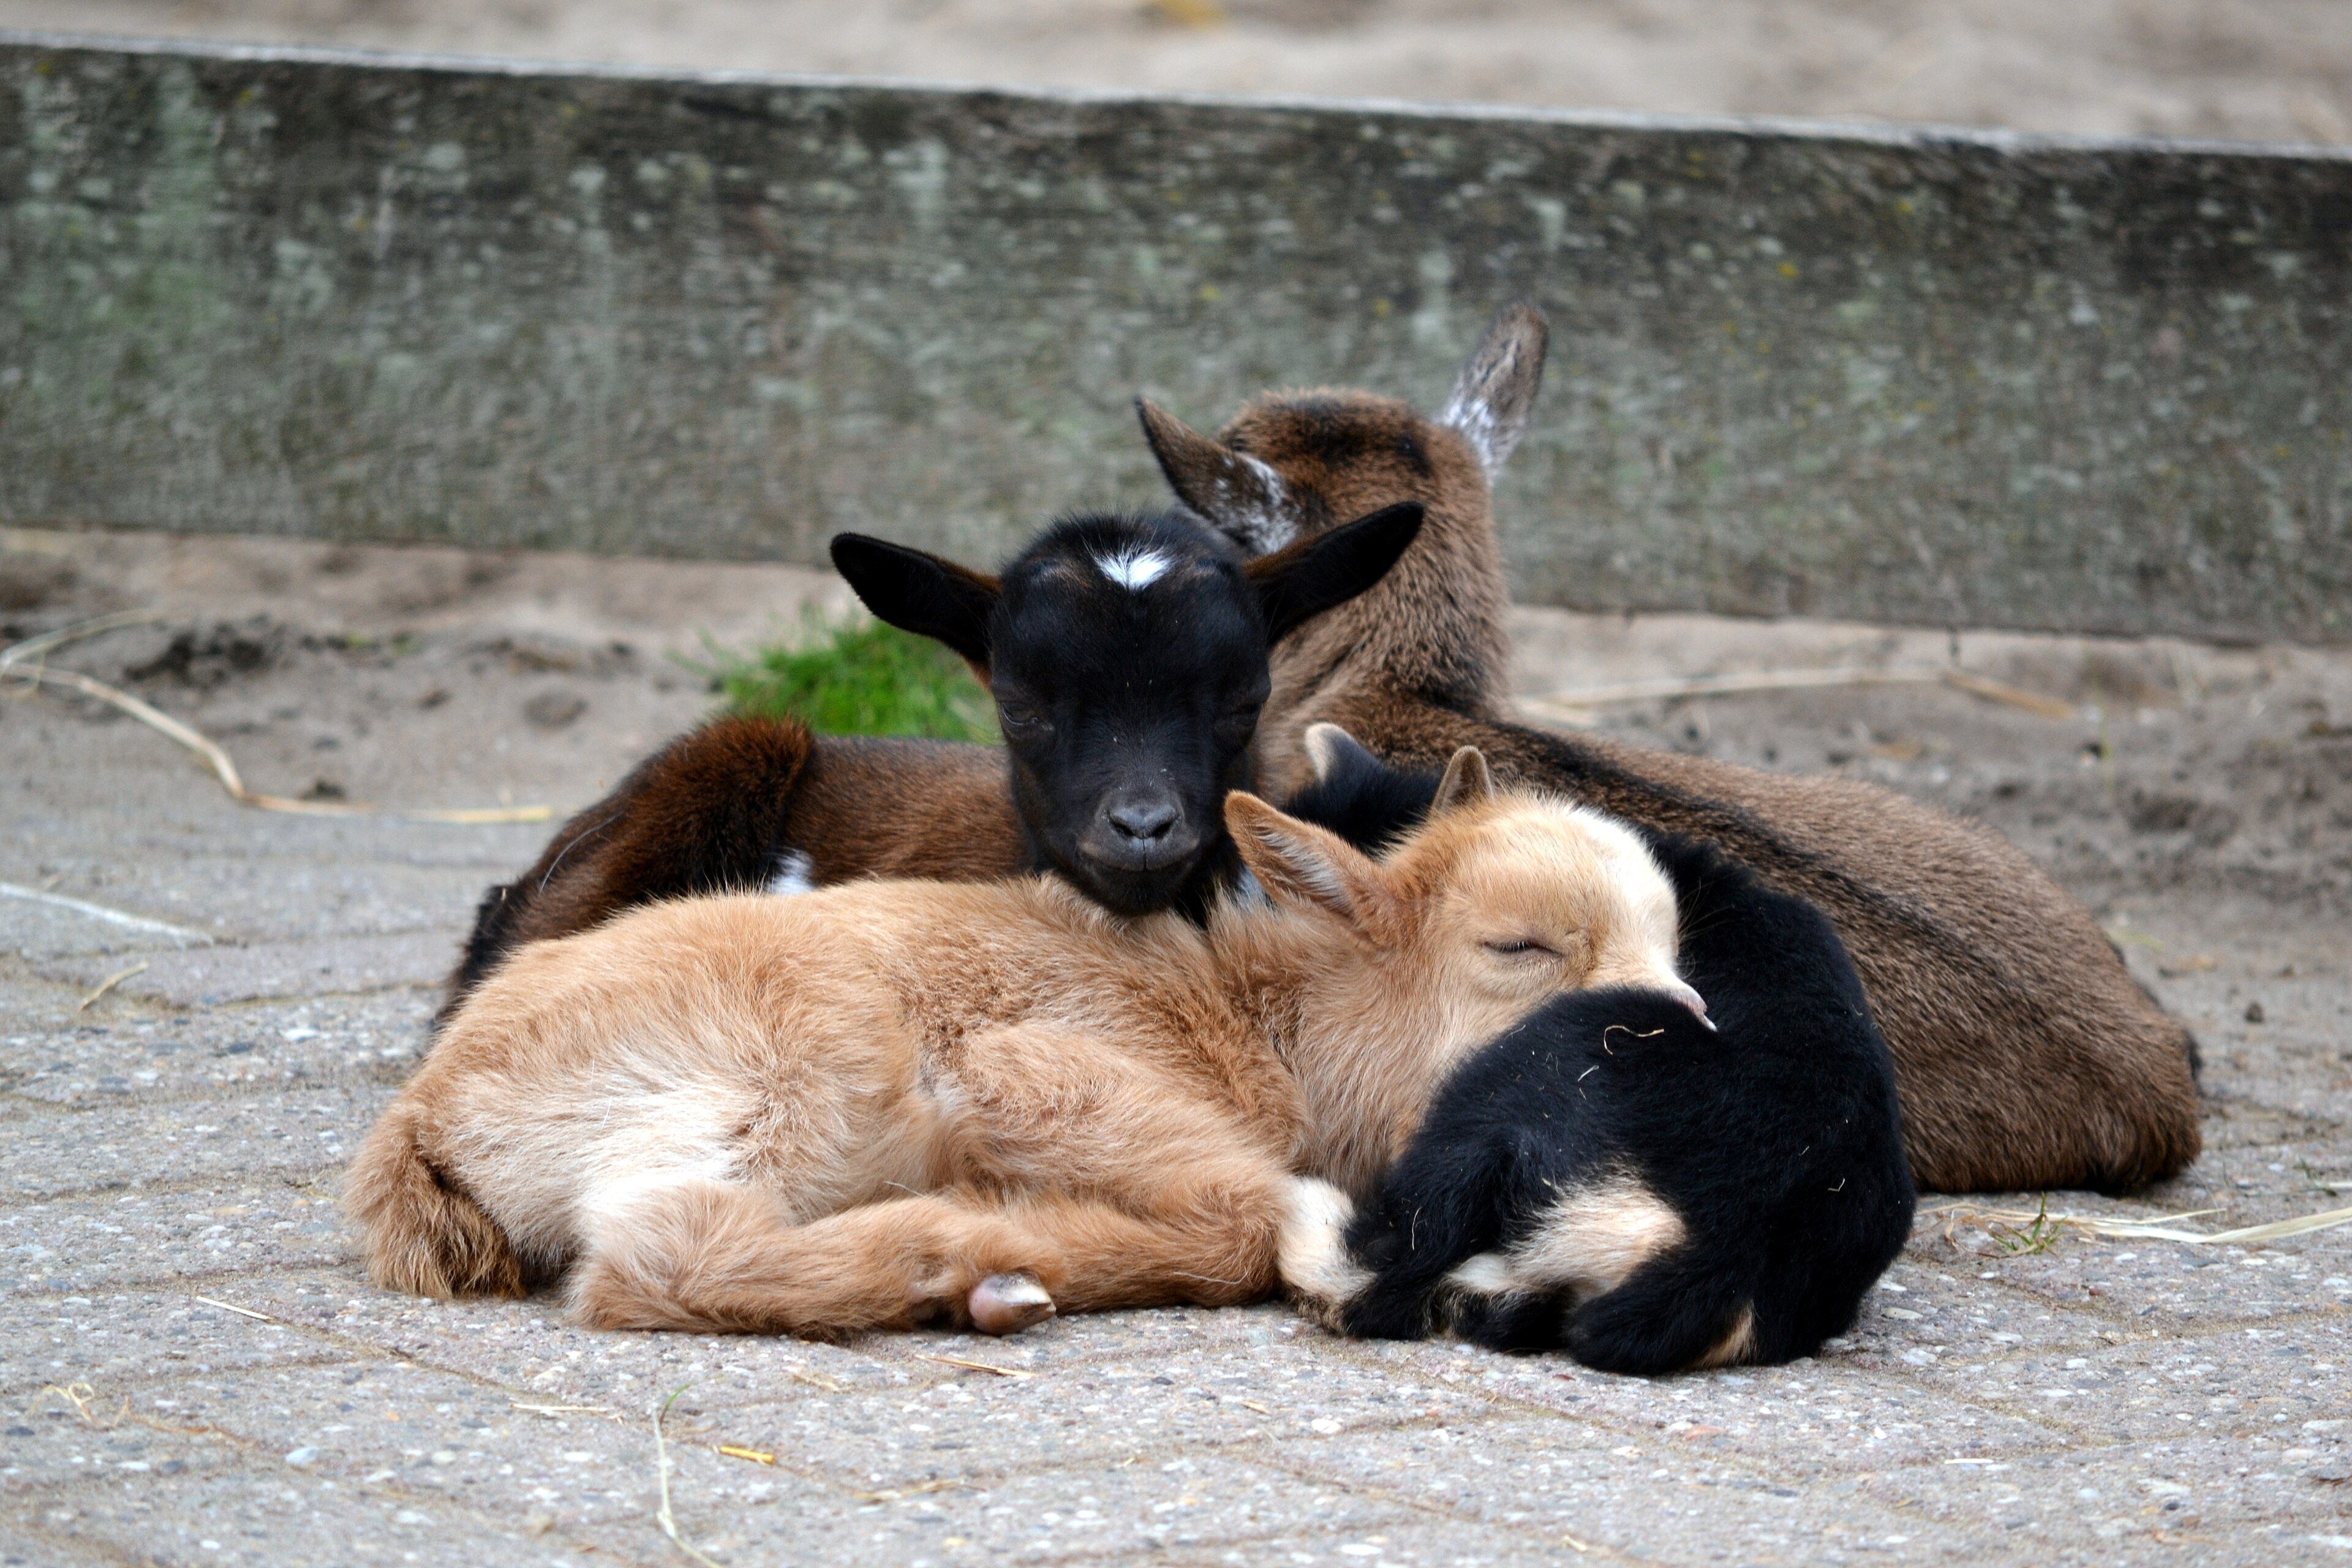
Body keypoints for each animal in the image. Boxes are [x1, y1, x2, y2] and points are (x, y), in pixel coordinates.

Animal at [348, 754, 1697, 1338]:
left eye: (1674, 940)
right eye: (1518, 946)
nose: (1679, 1032)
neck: (1263, 1023)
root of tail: (421, 1119)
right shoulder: (1028, 1067)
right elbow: (1250, 1218)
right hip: (804, 1076)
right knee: (657, 1259)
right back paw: (958, 1257)